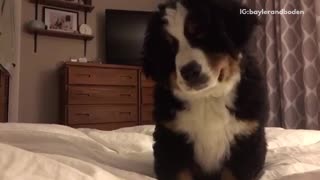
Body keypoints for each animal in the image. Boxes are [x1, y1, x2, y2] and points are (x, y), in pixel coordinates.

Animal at [142, 0, 268, 180]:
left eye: (201, 34)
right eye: (170, 47)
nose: (189, 71)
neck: (207, 98)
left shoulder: (246, 141)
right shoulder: (171, 142)